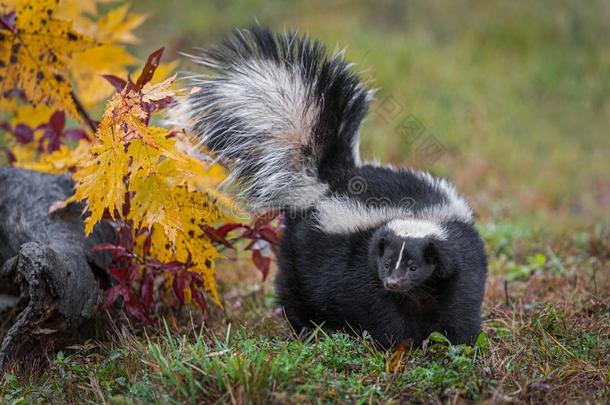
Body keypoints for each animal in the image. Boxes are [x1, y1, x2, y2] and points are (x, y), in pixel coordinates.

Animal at [169, 26, 486, 346]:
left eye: (413, 266)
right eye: (386, 264)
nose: (393, 282)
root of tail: (330, 178)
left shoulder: (459, 259)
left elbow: (460, 303)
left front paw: (458, 341)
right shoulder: (359, 265)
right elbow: (379, 309)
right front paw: (398, 343)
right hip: (301, 248)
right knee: (295, 288)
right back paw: (305, 327)